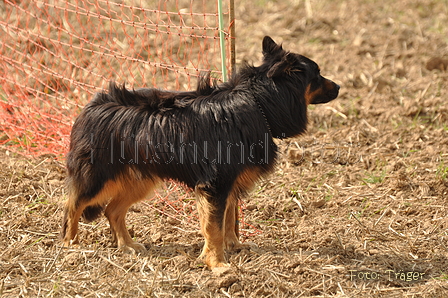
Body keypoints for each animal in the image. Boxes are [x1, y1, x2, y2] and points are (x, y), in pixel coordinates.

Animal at [61, 36, 338, 268]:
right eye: (318, 74)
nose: (339, 87)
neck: (259, 101)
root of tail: (90, 107)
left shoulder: (227, 184)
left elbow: (226, 219)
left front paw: (233, 247)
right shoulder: (215, 184)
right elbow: (213, 226)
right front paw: (217, 264)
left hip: (140, 178)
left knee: (112, 210)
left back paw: (127, 246)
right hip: (98, 175)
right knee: (74, 204)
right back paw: (69, 244)